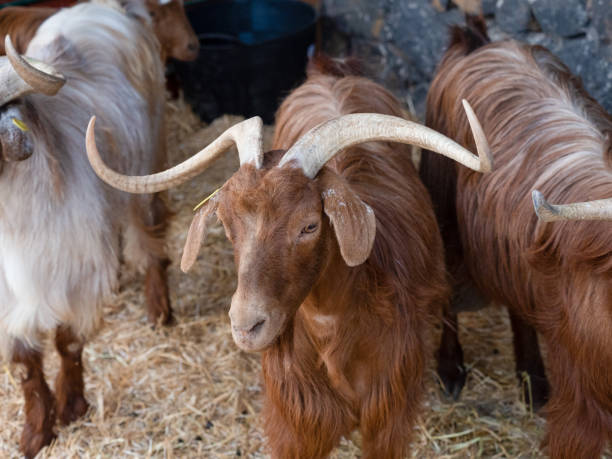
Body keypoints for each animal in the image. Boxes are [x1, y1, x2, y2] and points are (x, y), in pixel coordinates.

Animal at [83, 56, 490, 456]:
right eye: (226, 224)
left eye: (309, 225)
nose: (246, 326)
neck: (334, 330)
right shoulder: (295, 421)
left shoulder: (388, 415)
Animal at [418, 16, 612, 458]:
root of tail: (479, 42)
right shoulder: (583, 381)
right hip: (443, 209)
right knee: (446, 289)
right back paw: (451, 371)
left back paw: (533, 381)